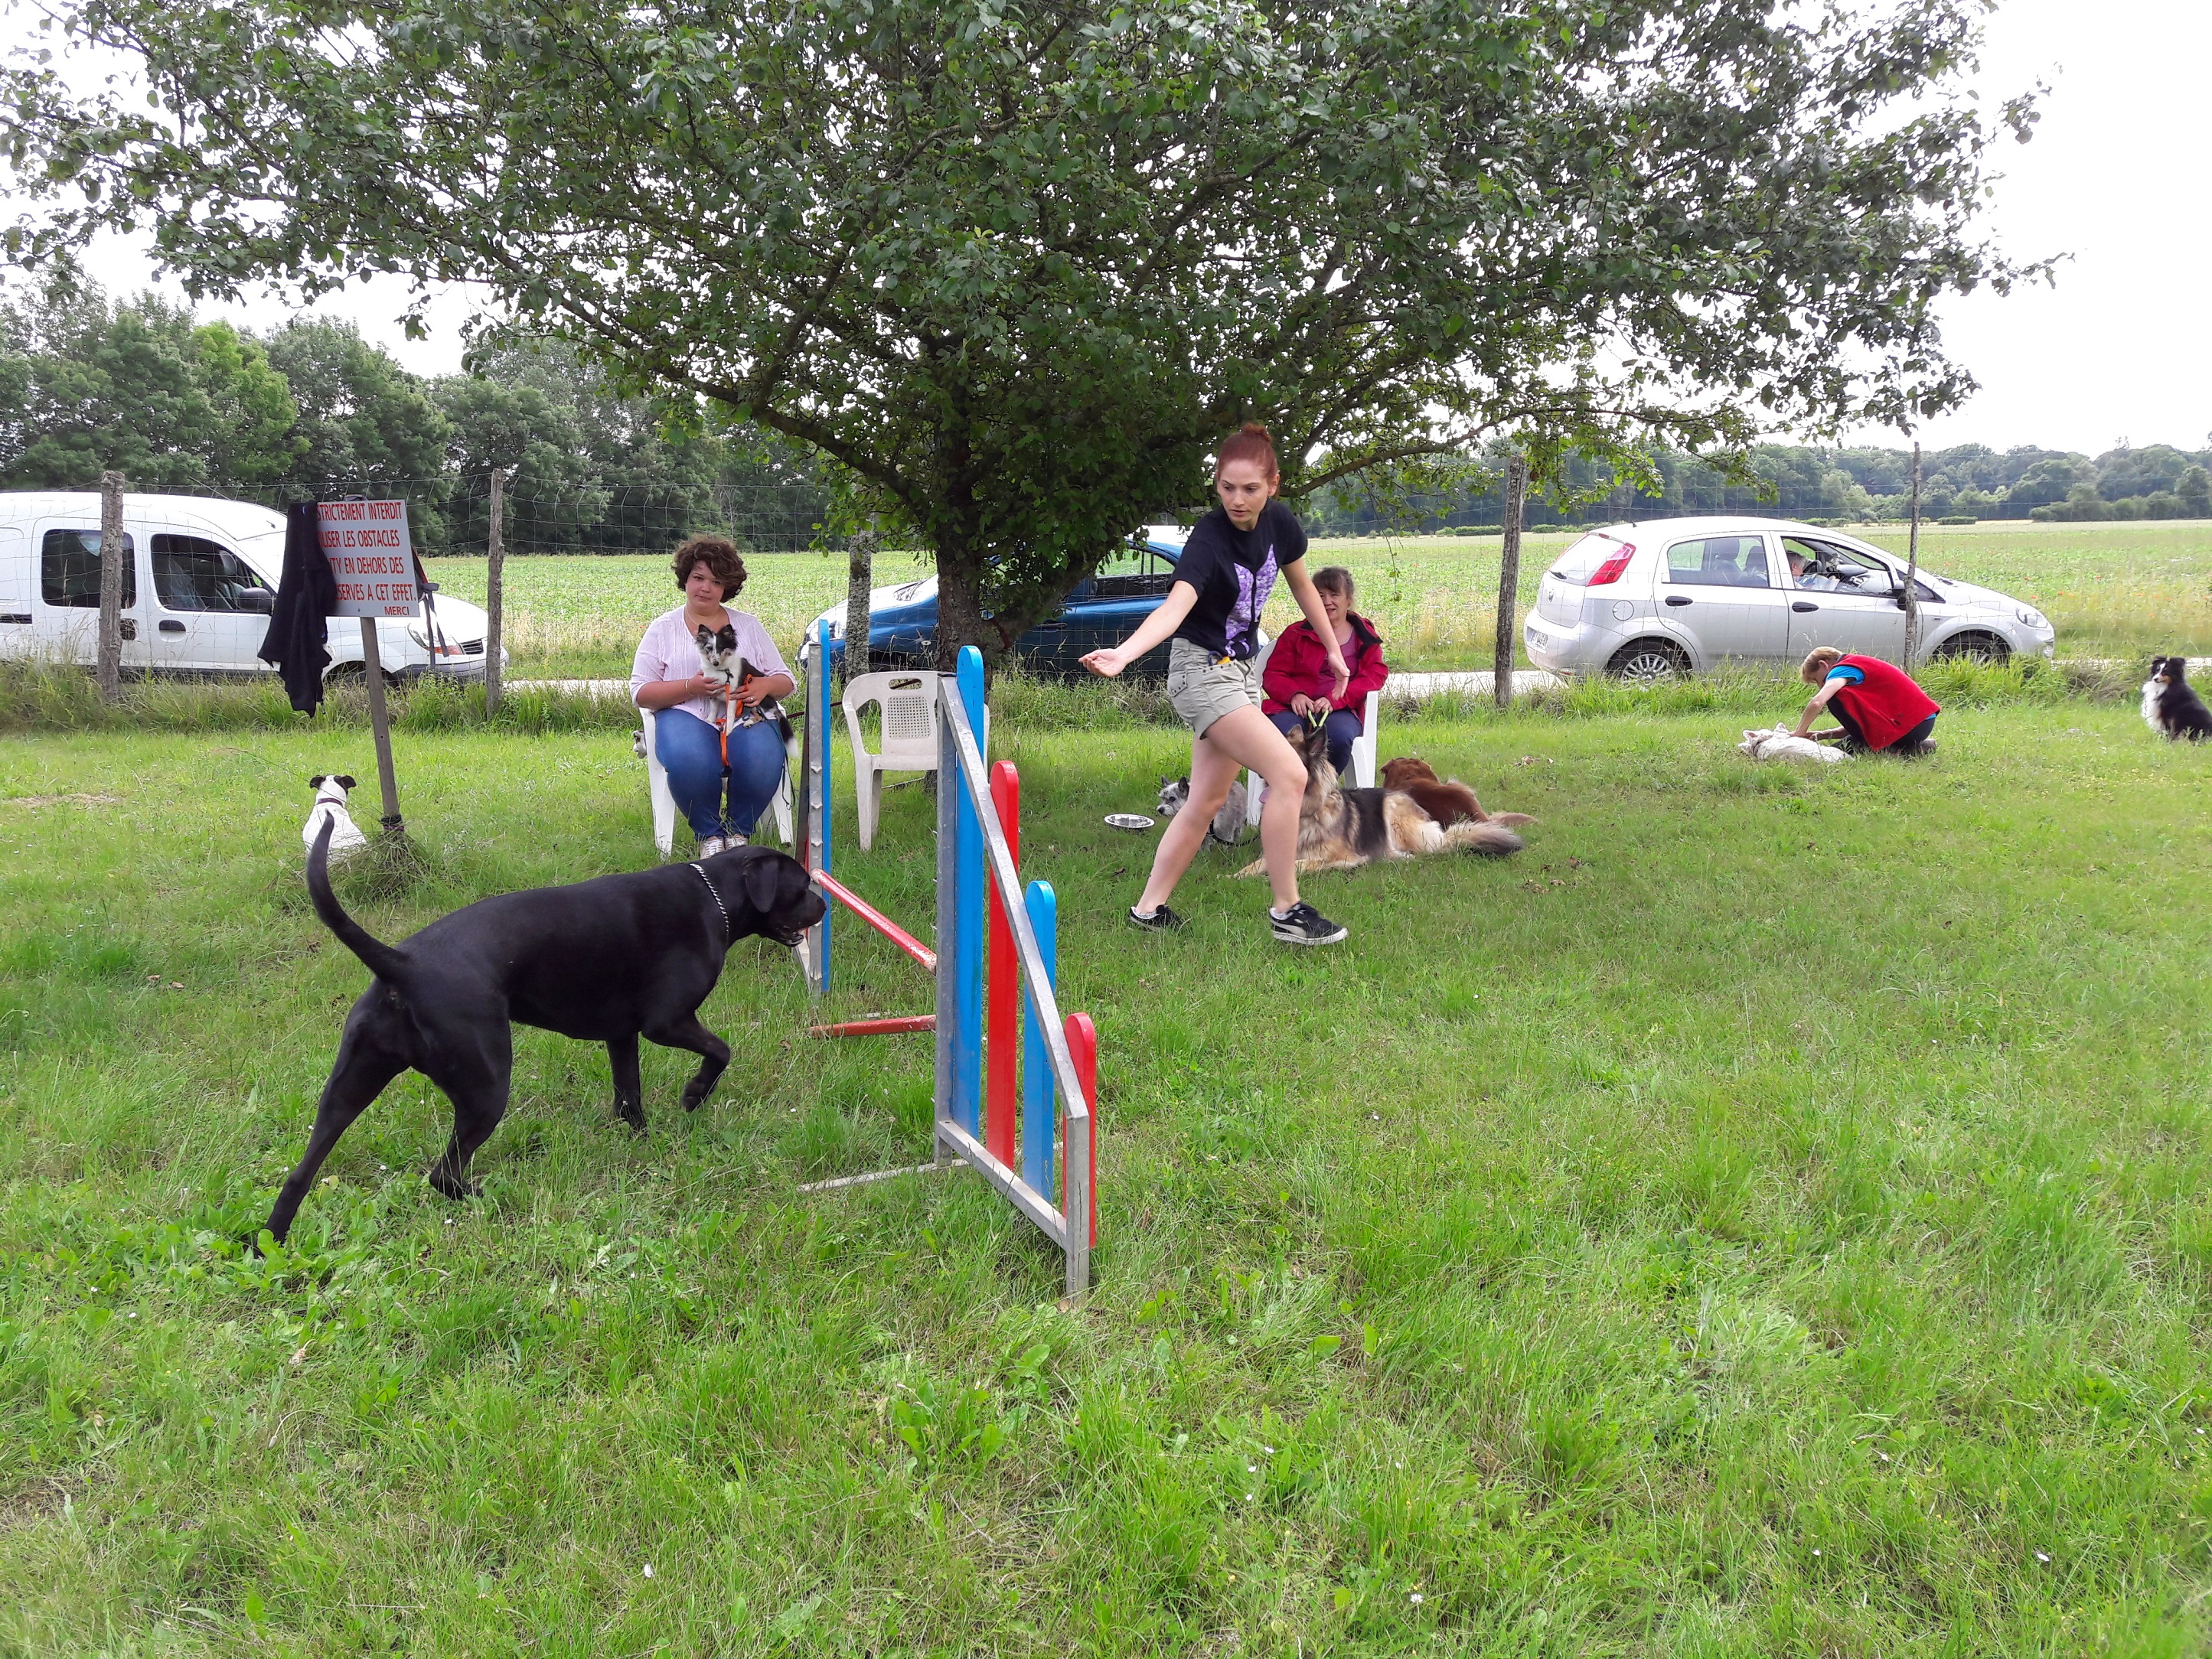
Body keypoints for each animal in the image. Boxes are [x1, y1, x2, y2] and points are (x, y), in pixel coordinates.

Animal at [263, 827, 827, 1238]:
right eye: (800, 886)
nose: (825, 906)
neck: (715, 896)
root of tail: (401, 965)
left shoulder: (622, 1035)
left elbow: (629, 1096)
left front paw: (642, 1142)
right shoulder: (667, 1022)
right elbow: (721, 1051)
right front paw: (693, 1095)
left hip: (347, 1091)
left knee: (299, 1174)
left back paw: (271, 1242)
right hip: (486, 1087)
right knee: (444, 1174)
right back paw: (488, 1200)